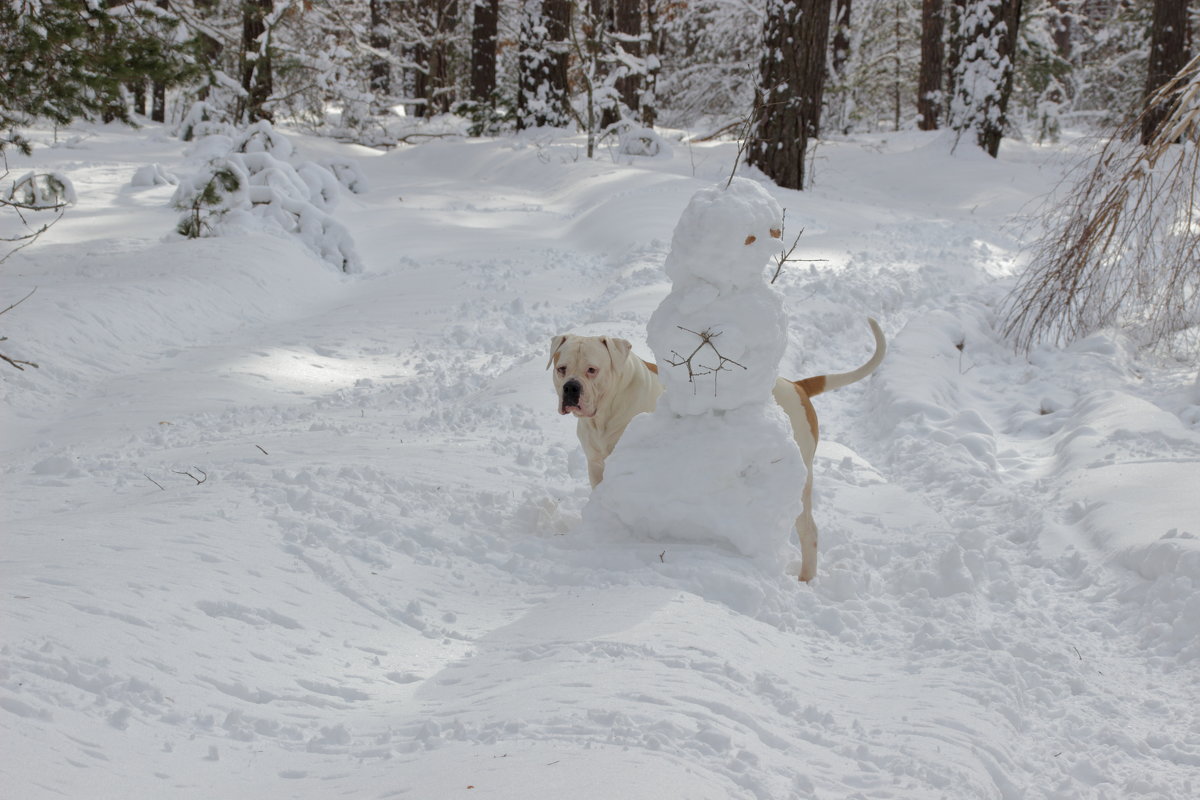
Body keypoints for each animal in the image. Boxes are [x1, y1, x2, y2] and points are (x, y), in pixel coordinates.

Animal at [549, 319, 883, 582]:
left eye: (592, 370)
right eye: (561, 368)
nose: (571, 388)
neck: (608, 411)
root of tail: (797, 385)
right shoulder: (597, 466)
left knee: (809, 532)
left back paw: (805, 580)